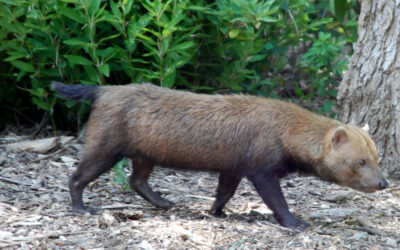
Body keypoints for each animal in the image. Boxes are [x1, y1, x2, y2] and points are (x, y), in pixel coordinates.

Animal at [52, 82, 388, 230]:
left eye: (377, 156)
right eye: (360, 161)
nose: (383, 183)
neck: (286, 130)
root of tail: (102, 90)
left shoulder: (233, 167)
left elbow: (224, 193)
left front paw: (216, 213)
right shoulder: (261, 169)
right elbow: (275, 200)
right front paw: (296, 222)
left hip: (144, 154)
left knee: (137, 181)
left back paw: (165, 202)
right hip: (106, 147)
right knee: (77, 176)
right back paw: (81, 208)